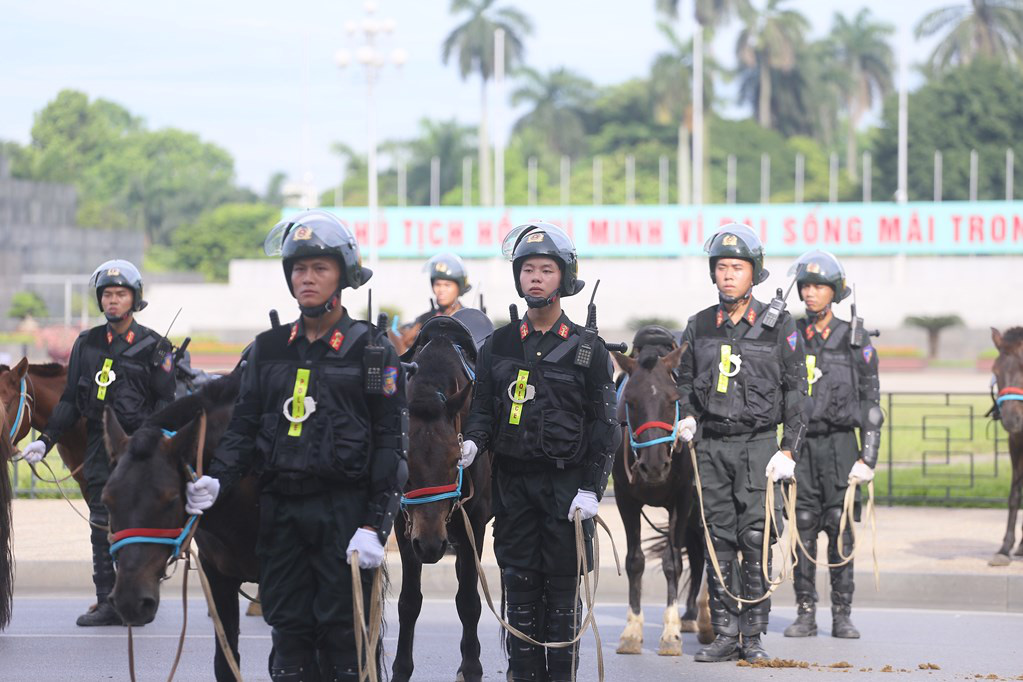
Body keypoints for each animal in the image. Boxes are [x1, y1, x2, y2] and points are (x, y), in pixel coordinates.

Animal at [390, 331, 491, 682]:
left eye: (455, 461)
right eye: (404, 468)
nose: (432, 545)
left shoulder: (475, 521)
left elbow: (470, 601)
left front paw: (472, 667)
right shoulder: (403, 526)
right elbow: (409, 601)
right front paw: (401, 668)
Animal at [605, 347, 712, 654]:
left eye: (673, 399)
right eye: (630, 401)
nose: (654, 466)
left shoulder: (682, 499)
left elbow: (672, 563)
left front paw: (670, 632)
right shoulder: (626, 500)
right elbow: (635, 561)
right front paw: (631, 631)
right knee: (698, 555)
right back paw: (692, 615)